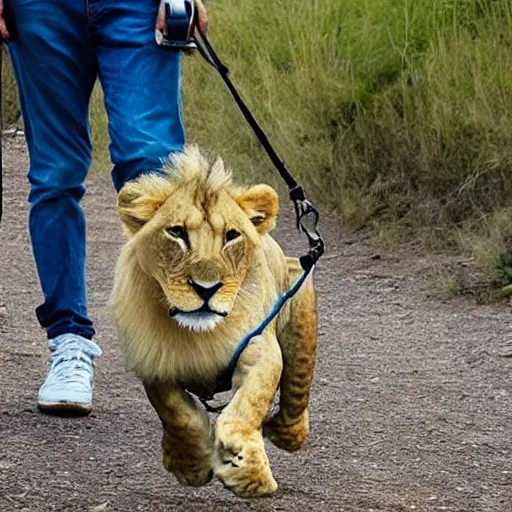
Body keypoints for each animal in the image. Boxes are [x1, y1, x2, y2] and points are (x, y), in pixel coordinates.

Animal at [109, 146, 316, 498]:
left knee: (296, 394)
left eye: (231, 236)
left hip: (300, 313)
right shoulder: (153, 357)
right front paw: (189, 465)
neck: (197, 333)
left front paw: (249, 472)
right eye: (177, 232)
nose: (206, 289)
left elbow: (250, 401)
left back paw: (284, 430)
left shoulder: (258, 348)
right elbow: (177, 414)